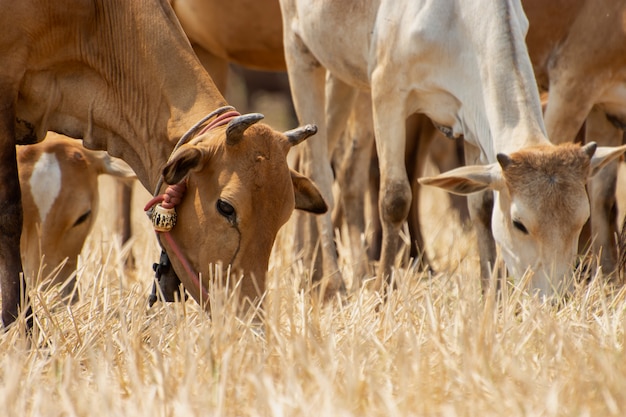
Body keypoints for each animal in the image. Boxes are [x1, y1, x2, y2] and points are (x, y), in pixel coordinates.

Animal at [278, 0, 624, 300]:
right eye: (520, 224)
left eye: (581, 221)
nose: (557, 299)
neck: (454, 19)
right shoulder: (387, 92)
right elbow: (395, 199)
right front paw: (383, 295)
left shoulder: (470, 117)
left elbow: (481, 206)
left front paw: (492, 295)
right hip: (300, 52)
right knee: (318, 169)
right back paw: (332, 285)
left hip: (345, 77)